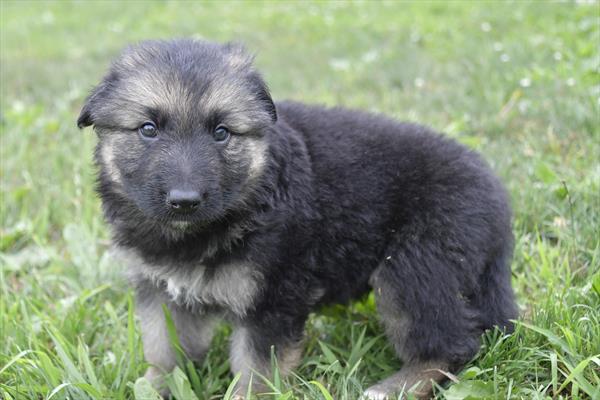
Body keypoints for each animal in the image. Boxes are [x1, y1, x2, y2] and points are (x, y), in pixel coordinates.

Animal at [77, 39, 516, 398]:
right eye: (148, 129)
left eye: (221, 132)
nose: (184, 201)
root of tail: (498, 196)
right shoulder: (160, 291)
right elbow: (166, 355)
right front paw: (155, 386)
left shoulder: (274, 299)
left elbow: (254, 373)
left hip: (415, 270)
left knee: (453, 344)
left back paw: (395, 387)